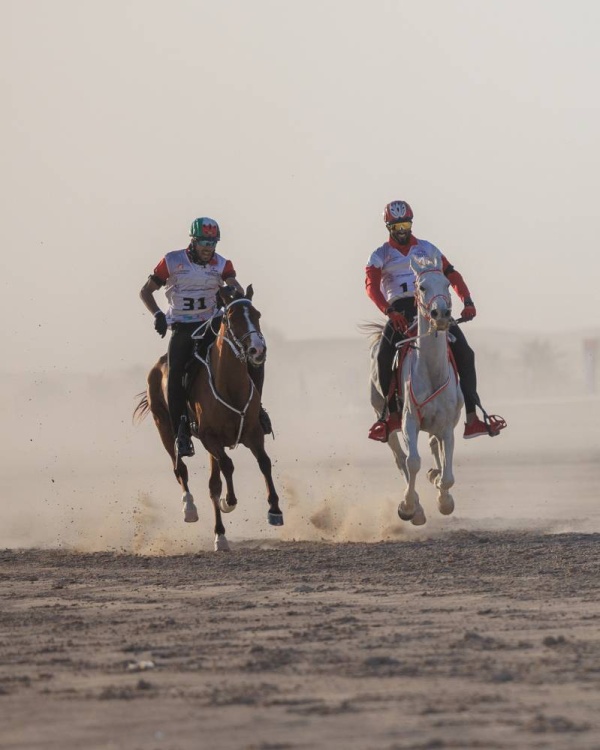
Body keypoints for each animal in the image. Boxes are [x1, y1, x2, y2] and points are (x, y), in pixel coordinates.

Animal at [135, 284, 284, 548]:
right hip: (165, 427)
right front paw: (229, 501)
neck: (230, 386)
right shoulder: (209, 438)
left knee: (213, 482)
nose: (257, 349)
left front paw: (274, 510)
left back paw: (220, 535)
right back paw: (190, 509)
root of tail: (158, 366)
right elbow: (228, 466)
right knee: (180, 467)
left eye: (257, 314)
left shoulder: (253, 433)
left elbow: (264, 462)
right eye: (231, 318)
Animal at [370, 250, 464, 524]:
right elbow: (412, 462)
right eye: (421, 286)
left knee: (433, 446)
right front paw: (409, 507)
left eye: (447, 284)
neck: (431, 371)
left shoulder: (447, 426)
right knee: (400, 458)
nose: (441, 315)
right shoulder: (408, 420)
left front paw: (444, 500)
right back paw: (417, 508)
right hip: (385, 418)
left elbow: (448, 474)